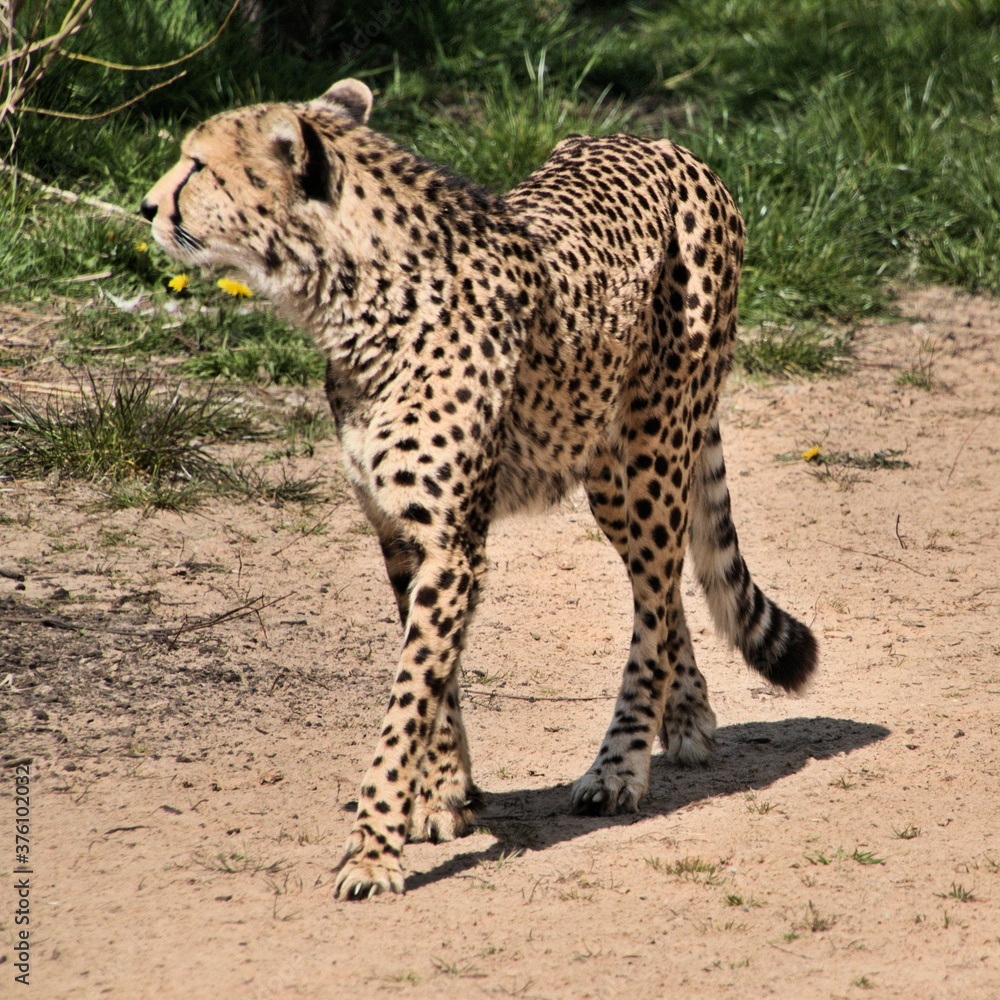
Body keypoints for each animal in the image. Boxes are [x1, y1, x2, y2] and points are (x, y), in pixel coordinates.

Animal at [142, 79, 817, 900]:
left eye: (198, 166)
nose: (147, 205)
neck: (355, 294)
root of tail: (664, 144)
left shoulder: (451, 542)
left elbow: (409, 696)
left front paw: (373, 850)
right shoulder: (404, 535)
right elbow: (438, 677)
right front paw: (444, 797)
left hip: (652, 453)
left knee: (654, 600)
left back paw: (619, 768)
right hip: (611, 472)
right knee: (658, 591)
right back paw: (686, 715)